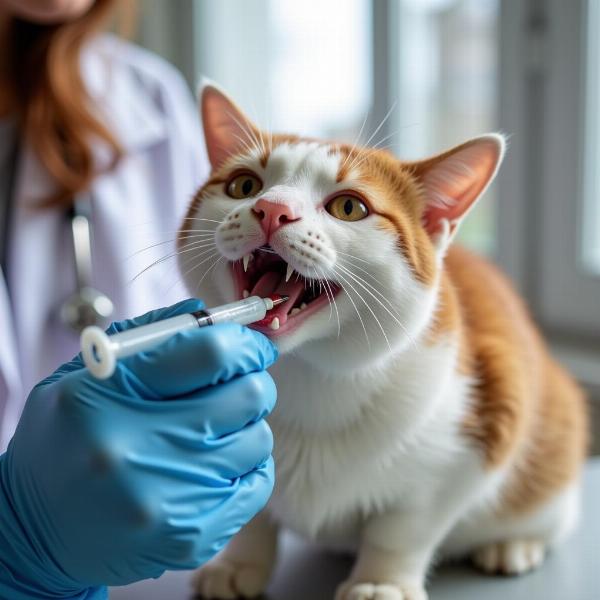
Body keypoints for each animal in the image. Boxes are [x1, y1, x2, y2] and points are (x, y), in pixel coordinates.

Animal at [179, 85, 592, 600]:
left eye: (349, 207)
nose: (271, 210)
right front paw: (241, 561)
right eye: (243, 185)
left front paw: (380, 581)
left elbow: (404, 527)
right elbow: (251, 507)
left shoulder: (481, 428)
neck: (309, 373)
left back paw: (513, 544)